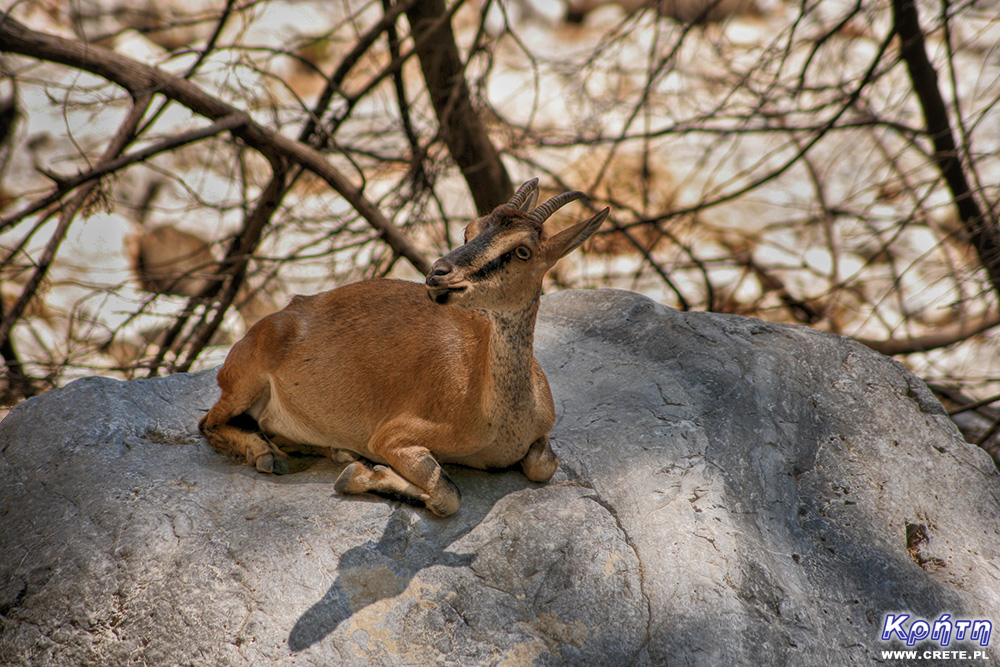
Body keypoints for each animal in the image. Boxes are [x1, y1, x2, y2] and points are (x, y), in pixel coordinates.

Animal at [198, 180, 604, 520]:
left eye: (522, 250)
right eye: (470, 229)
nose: (439, 273)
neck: (498, 418)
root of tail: (281, 316)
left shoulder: (542, 435)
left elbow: (542, 467)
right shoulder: (394, 436)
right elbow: (448, 495)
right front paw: (359, 475)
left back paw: (331, 449)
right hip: (243, 383)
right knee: (209, 423)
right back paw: (269, 456)